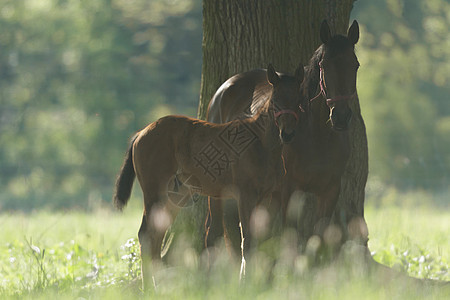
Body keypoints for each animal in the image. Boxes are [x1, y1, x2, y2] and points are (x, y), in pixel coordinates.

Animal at [114, 63, 306, 290]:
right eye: (275, 101)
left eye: (299, 100)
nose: (288, 134)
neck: (261, 145)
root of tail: (140, 133)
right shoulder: (245, 195)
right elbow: (247, 240)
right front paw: (246, 285)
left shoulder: (272, 196)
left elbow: (267, 239)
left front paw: (265, 283)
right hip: (154, 192)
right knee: (146, 234)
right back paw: (149, 289)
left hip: (176, 195)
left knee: (156, 235)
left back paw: (158, 286)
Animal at [206, 19, 360, 252]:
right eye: (324, 66)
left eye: (355, 65)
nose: (341, 116)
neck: (318, 137)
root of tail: (223, 90)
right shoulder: (290, 190)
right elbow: (292, 237)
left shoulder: (330, 190)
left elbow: (319, 238)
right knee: (215, 231)